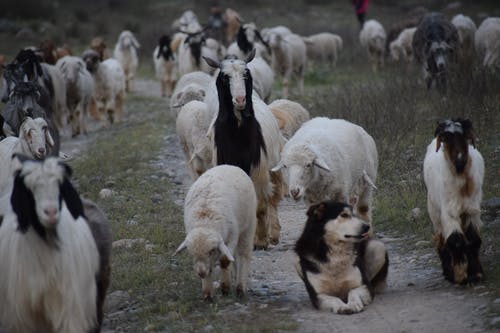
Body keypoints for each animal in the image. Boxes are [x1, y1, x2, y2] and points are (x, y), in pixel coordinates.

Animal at [174, 165, 256, 296]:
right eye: (191, 253)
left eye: (212, 251)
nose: (201, 273)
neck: (205, 221)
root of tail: (229, 165)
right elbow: (211, 268)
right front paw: (207, 293)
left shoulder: (232, 236)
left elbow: (225, 260)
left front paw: (225, 286)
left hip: (248, 225)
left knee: (244, 253)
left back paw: (241, 287)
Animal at [201, 50, 284, 248]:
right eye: (225, 77)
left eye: (246, 74)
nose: (240, 100)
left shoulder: (258, 167)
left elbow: (260, 206)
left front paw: (260, 241)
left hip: (273, 163)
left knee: (273, 198)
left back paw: (273, 234)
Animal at [422, 118, 484, 284]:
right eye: (445, 138)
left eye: (465, 136)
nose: (460, 159)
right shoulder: (449, 211)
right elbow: (456, 241)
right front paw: (460, 275)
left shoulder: (472, 209)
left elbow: (474, 239)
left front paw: (476, 273)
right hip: (434, 210)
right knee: (441, 239)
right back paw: (448, 272)